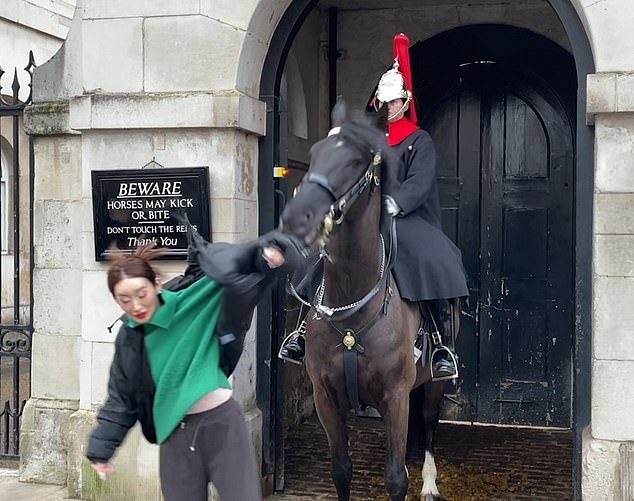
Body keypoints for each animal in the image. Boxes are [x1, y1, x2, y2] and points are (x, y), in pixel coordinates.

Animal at [278, 102, 452, 500]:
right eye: (314, 154)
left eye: (356, 160)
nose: (296, 216)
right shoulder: (326, 398)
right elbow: (341, 470)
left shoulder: (396, 396)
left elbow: (396, 478)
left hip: (434, 383)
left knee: (429, 423)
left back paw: (430, 482)